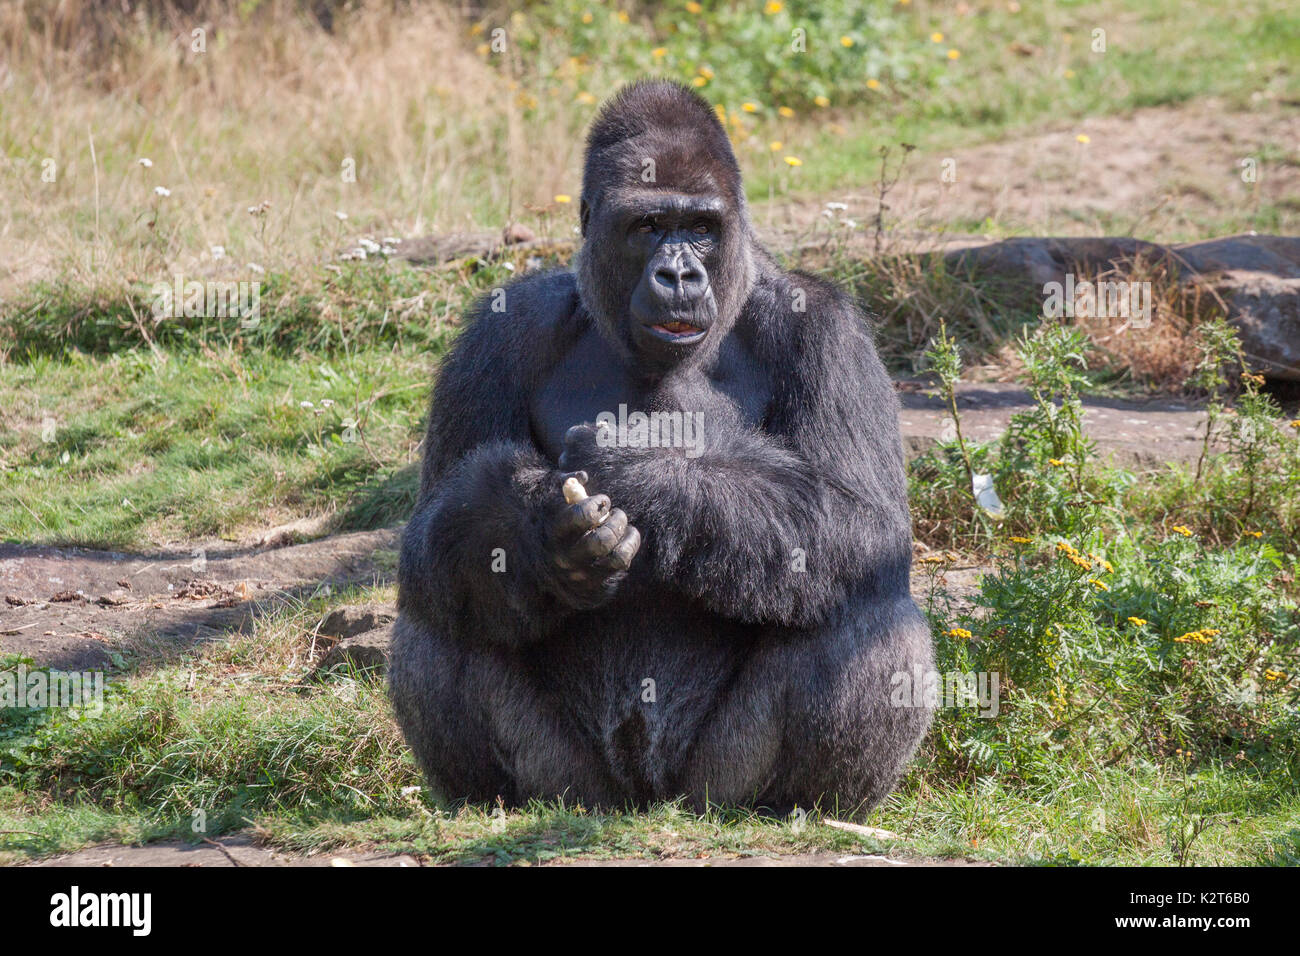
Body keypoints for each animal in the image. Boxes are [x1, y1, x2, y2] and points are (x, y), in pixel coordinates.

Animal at [387, 80, 935, 816]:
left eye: (700, 227)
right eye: (647, 227)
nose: (679, 277)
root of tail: (646, 799)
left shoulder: (824, 327)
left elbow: (865, 522)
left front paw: (641, 469)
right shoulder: (503, 328)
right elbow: (435, 527)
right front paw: (538, 537)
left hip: (713, 786)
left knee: (869, 606)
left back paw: (805, 807)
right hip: (573, 787)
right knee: (443, 601)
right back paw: (489, 799)